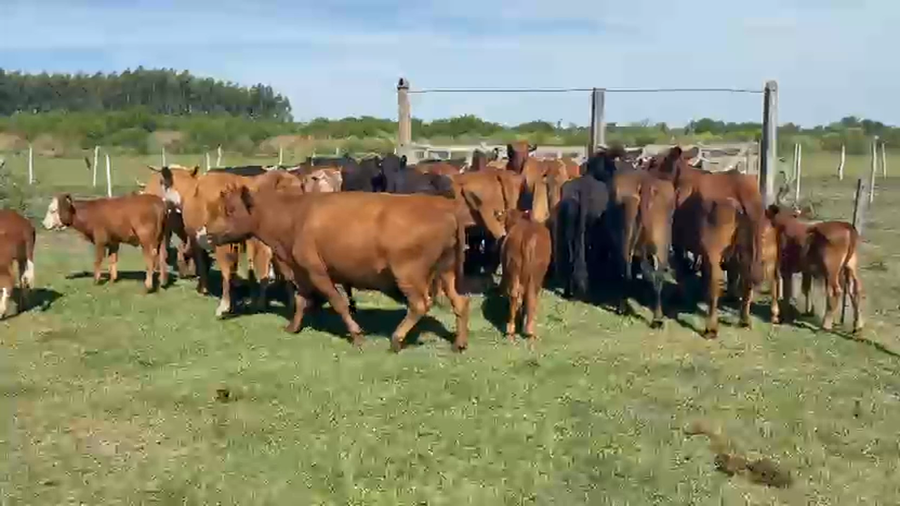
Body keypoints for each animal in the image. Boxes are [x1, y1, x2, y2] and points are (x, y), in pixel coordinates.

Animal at [203, 188, 472, 353]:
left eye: (230, 210)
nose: (207, 234)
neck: (294, 217)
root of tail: (446, 207)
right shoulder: (302, 272)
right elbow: (301, 300)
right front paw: (293, 327)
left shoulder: (318, 272)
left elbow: (338, 302)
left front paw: (357, 335)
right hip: (446, 272)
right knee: (460, 302)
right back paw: (458, 344)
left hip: (408, 274)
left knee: (419, 305)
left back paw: (397, 339)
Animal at [500, 180, 552, 342]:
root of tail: (527, 238)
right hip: (535, 275)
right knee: (530, 296)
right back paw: (529, 331)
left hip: (514, 268)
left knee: (514, 294)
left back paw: (511, 330)